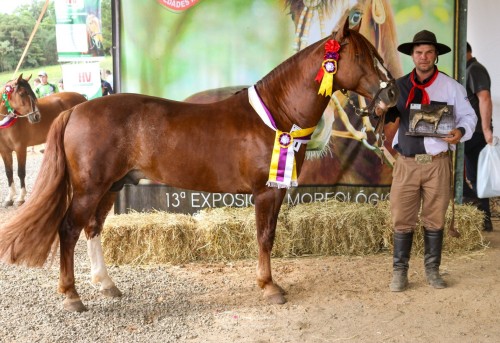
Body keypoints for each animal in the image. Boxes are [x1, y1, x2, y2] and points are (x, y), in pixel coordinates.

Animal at [0, 76, 87, 207]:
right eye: (22, 94)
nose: (36, 116)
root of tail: (82, 98)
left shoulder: (20, 149)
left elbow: (21, 172)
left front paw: (21, 197)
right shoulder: (4, 151)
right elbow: (8, 172)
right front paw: (9, 198)